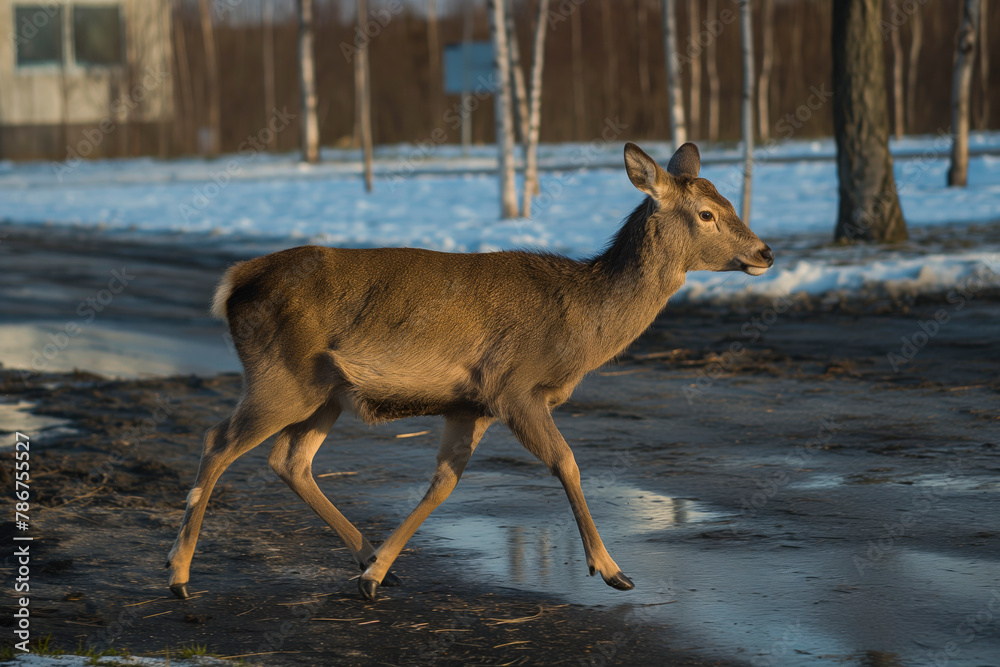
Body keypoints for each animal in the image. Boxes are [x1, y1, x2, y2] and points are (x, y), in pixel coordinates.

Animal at [166, 142, 773, 601]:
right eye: (707, 213)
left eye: (725, 200)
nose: (766, 252)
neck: (577, 325)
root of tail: (235, 282)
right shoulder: (514, 386)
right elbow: (568, 462)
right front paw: (611, 569)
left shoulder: (469, 404)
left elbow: (445, 482)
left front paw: (376, 573)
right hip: (281, 377)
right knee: (218, 441)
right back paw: (178, 574)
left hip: (326, 393)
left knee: (289, 460)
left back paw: (362, 556)